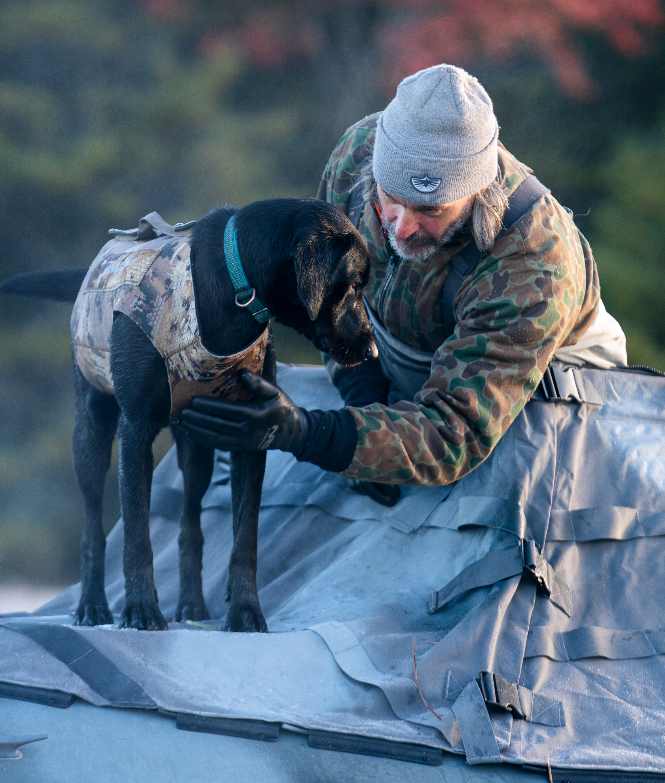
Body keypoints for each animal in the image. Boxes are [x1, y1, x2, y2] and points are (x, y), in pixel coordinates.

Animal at [0, 201, 376, 632]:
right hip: (91, 433)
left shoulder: (250, 435)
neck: (234, 286)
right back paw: (92, 605)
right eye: (352, 284)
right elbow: (136, 535)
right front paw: (140, 609)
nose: (371, 350)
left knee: (190, 527)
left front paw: (245, 610)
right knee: (93, 524)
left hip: (196, 450)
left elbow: (245, 538)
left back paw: (192, 605)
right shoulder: (136, 431)